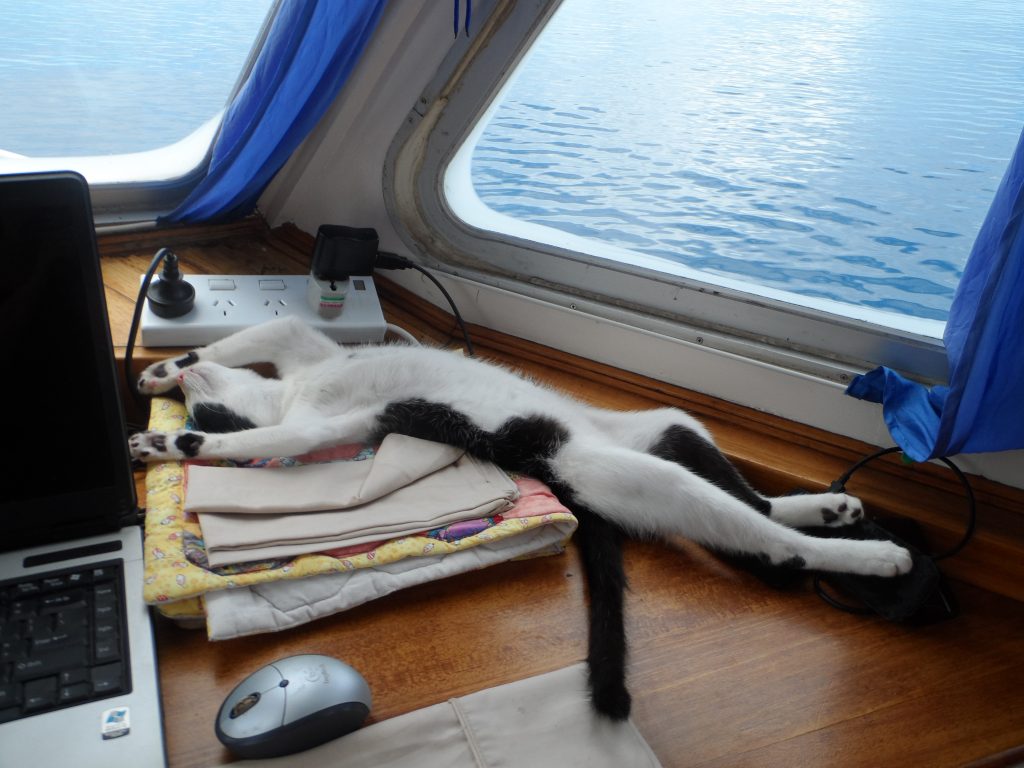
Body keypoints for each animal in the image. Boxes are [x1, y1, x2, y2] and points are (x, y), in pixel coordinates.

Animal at [130, 317, 913, 720]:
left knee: (755, 505)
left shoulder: (310, 358)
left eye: (205, 405)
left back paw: (836, 510)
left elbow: (268, 326)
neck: (293, 390)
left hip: (669, 427)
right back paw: (871, 555)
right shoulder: (321, 422)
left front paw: (166, 371)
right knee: (769, 544)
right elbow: (264, 436)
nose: (189, 394)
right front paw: (166, 440)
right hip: (637, 472)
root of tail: (576, 461)